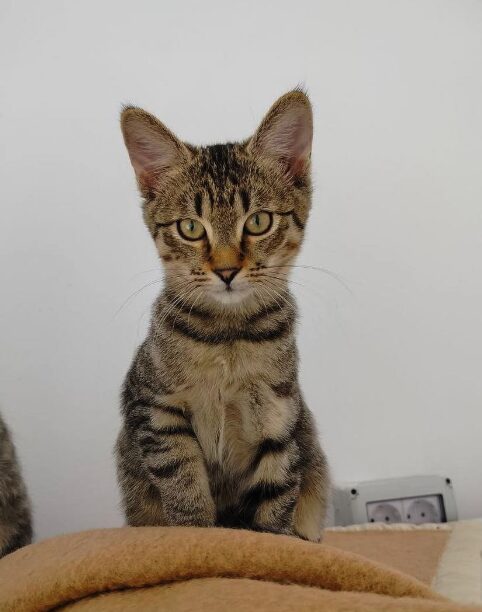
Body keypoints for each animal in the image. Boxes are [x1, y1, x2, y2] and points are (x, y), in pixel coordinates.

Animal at [115, 89, 330, 540]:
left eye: (259, 221)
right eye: (191, 228)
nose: (227, 270)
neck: (228, 339)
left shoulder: (280, 421)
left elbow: (276, 500)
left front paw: (270, 541)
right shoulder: (155, 410)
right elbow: (184, 486)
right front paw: (199, 535)